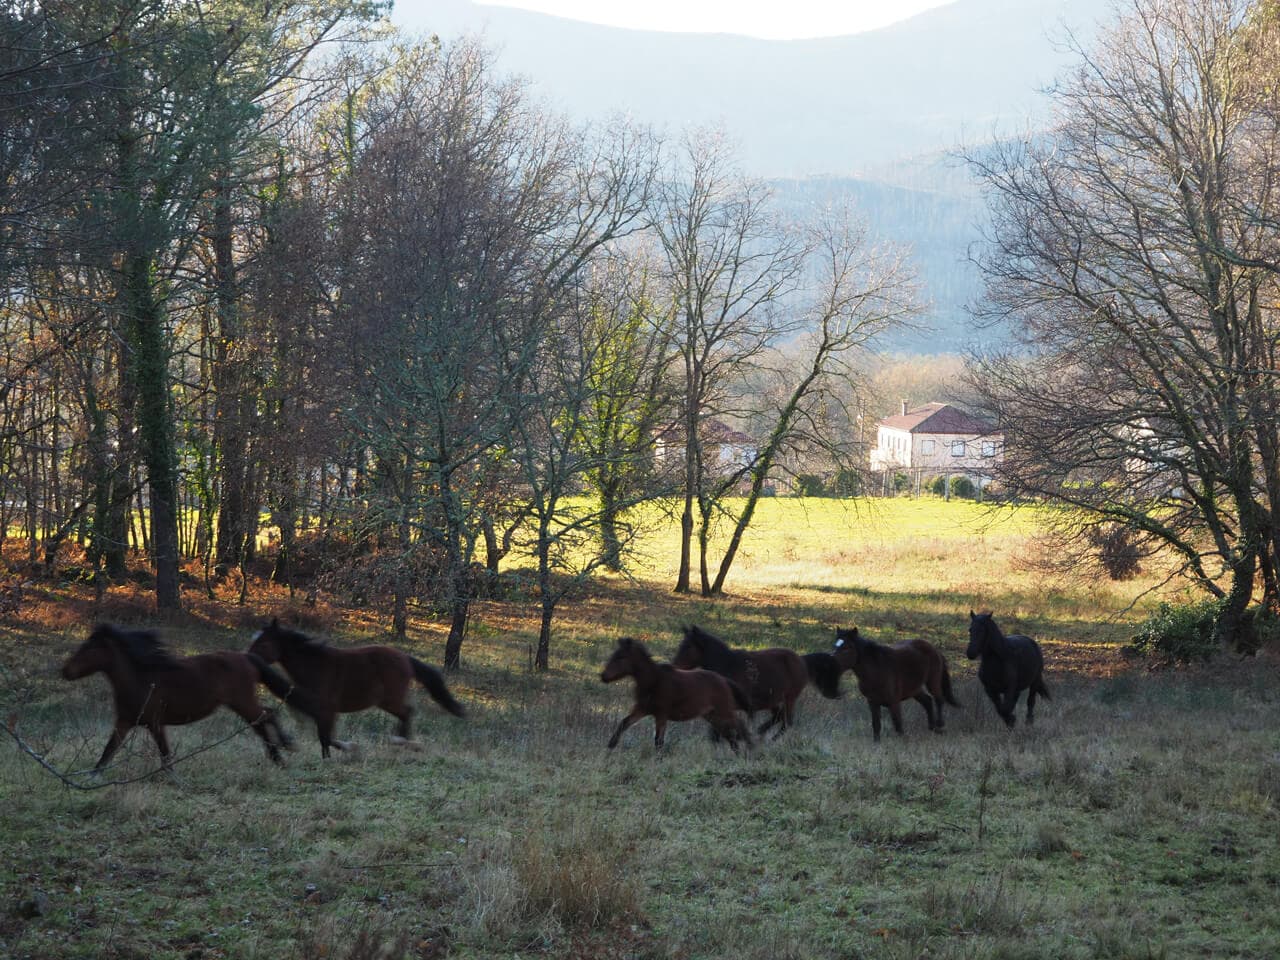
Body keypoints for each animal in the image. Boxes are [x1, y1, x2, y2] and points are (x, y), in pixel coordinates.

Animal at [245, 619, 465, 762]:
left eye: (263, 643)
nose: (247, 660)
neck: (316, 666)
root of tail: (405, 658)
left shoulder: (328, 710)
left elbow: (326, 738)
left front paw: (344, 751)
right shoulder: (317, 711)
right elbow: (325, 739)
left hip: (389, 700)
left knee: (407, 712)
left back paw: (401, 740)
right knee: (406, 714)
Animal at [599, 640, 747, 752]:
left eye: (621, 657)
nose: (603, 676)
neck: (654, 681)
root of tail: (725, 680)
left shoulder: (661, 714)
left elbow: (659, 741)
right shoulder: (642, 710)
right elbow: (623, 723)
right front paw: (610, 747)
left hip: (723, 711)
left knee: (738, 729)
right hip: (711, 715)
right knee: (731, 733)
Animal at [829, 627, 962, 742]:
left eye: (847, 647)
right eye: (835, 646)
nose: (832, 664)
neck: (876, 670)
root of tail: (934, 649)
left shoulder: (894, 702)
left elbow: (898, 724)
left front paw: (902, 742)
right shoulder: (872, 702)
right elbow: (876, 724)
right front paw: (877, 743)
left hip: (932, 681)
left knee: (939, 699)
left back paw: (940, 725)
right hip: (914, 689)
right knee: (927, 701)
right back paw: (932, 727)